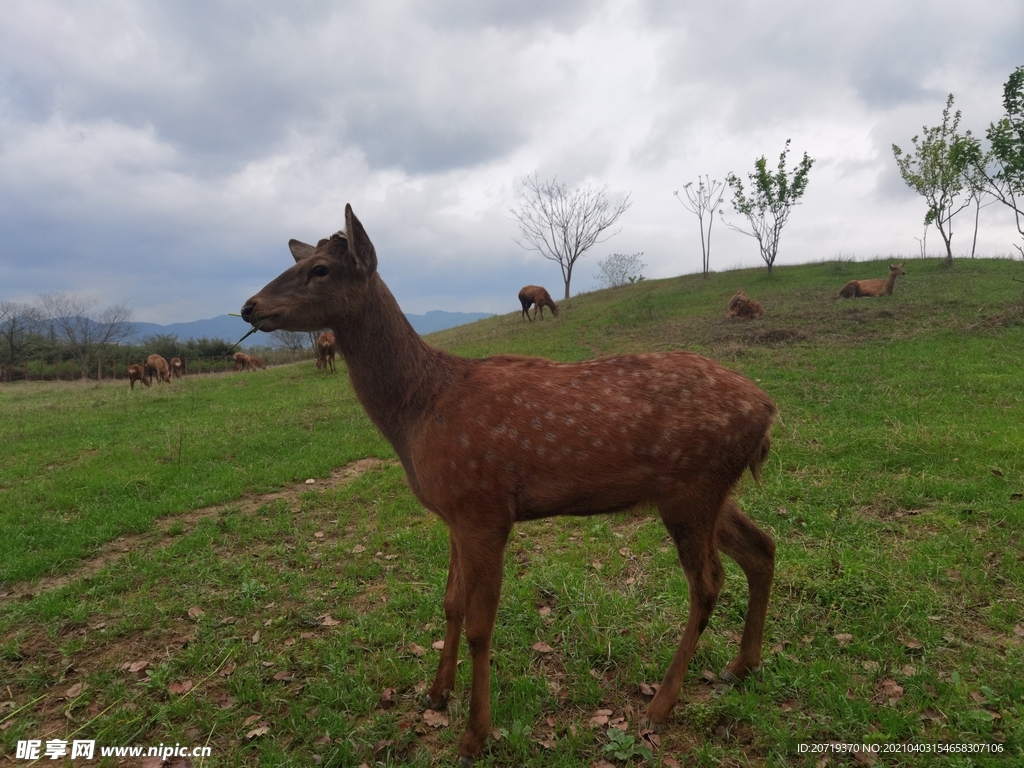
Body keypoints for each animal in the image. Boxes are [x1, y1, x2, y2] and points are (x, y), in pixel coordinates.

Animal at [239, 205, 774, 765]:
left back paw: (662, 704)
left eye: (320, 269)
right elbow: (450, 601)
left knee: (708, 582)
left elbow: (481, 623)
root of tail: (768, 411)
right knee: (762, 547)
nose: (249, 306)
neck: (417, 410)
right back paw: (742, 665)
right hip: (706, 492)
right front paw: (437, 692)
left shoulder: (484, 506)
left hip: (692, 490)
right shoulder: (454, 513)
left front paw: (474, 735)